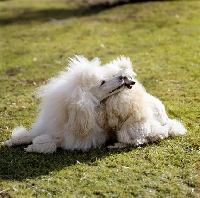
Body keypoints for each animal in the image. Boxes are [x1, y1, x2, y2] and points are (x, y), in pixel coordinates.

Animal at [2, 55, 186, 153]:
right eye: (102, 82)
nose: (122, 78)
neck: (71, 116)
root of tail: (164, 117)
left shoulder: (73, 140)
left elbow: (51, 142)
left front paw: (33, 147)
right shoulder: (51, 127)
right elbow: (28, 135)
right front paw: (9, 142)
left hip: (133, 129)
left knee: (145, 138)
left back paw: (116, 144)